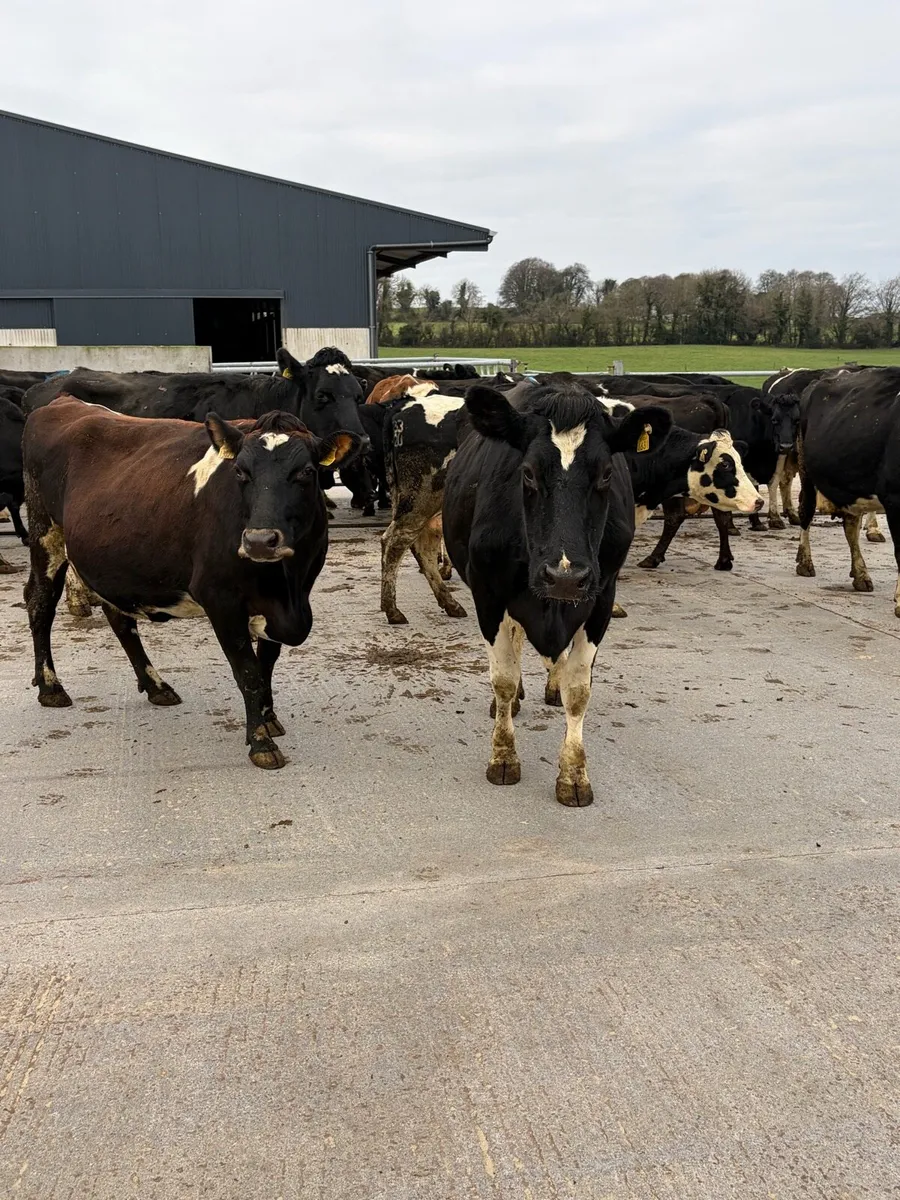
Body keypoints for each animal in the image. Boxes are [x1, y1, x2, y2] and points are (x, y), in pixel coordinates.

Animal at [23, 397, 361, 767]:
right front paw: (260, 742)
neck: (288, 585)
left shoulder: (283, 602)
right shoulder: (221, 600)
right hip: (45, 534)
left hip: (114, 562)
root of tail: (63, 401)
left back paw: (156, 686)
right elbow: (249, 672)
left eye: (306, 472)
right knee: (40, 604)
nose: (259, 541)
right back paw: (51, 688)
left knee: (119, 618)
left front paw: (269, 718)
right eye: (240, 471)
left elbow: (267, 663)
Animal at [441, 382, 672, 807]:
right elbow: (503, 676)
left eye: (606, 474)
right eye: (528, 473)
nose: (565, 576)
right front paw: (503, 757)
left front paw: (574, 774)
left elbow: (579, 689)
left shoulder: (601, 597)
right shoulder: (488, 594)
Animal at [794, 367, 900, 614]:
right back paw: (805, 562)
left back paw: (860, 574)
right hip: (806, 467)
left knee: (851, 525)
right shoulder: (895, 498)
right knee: (806, 510)